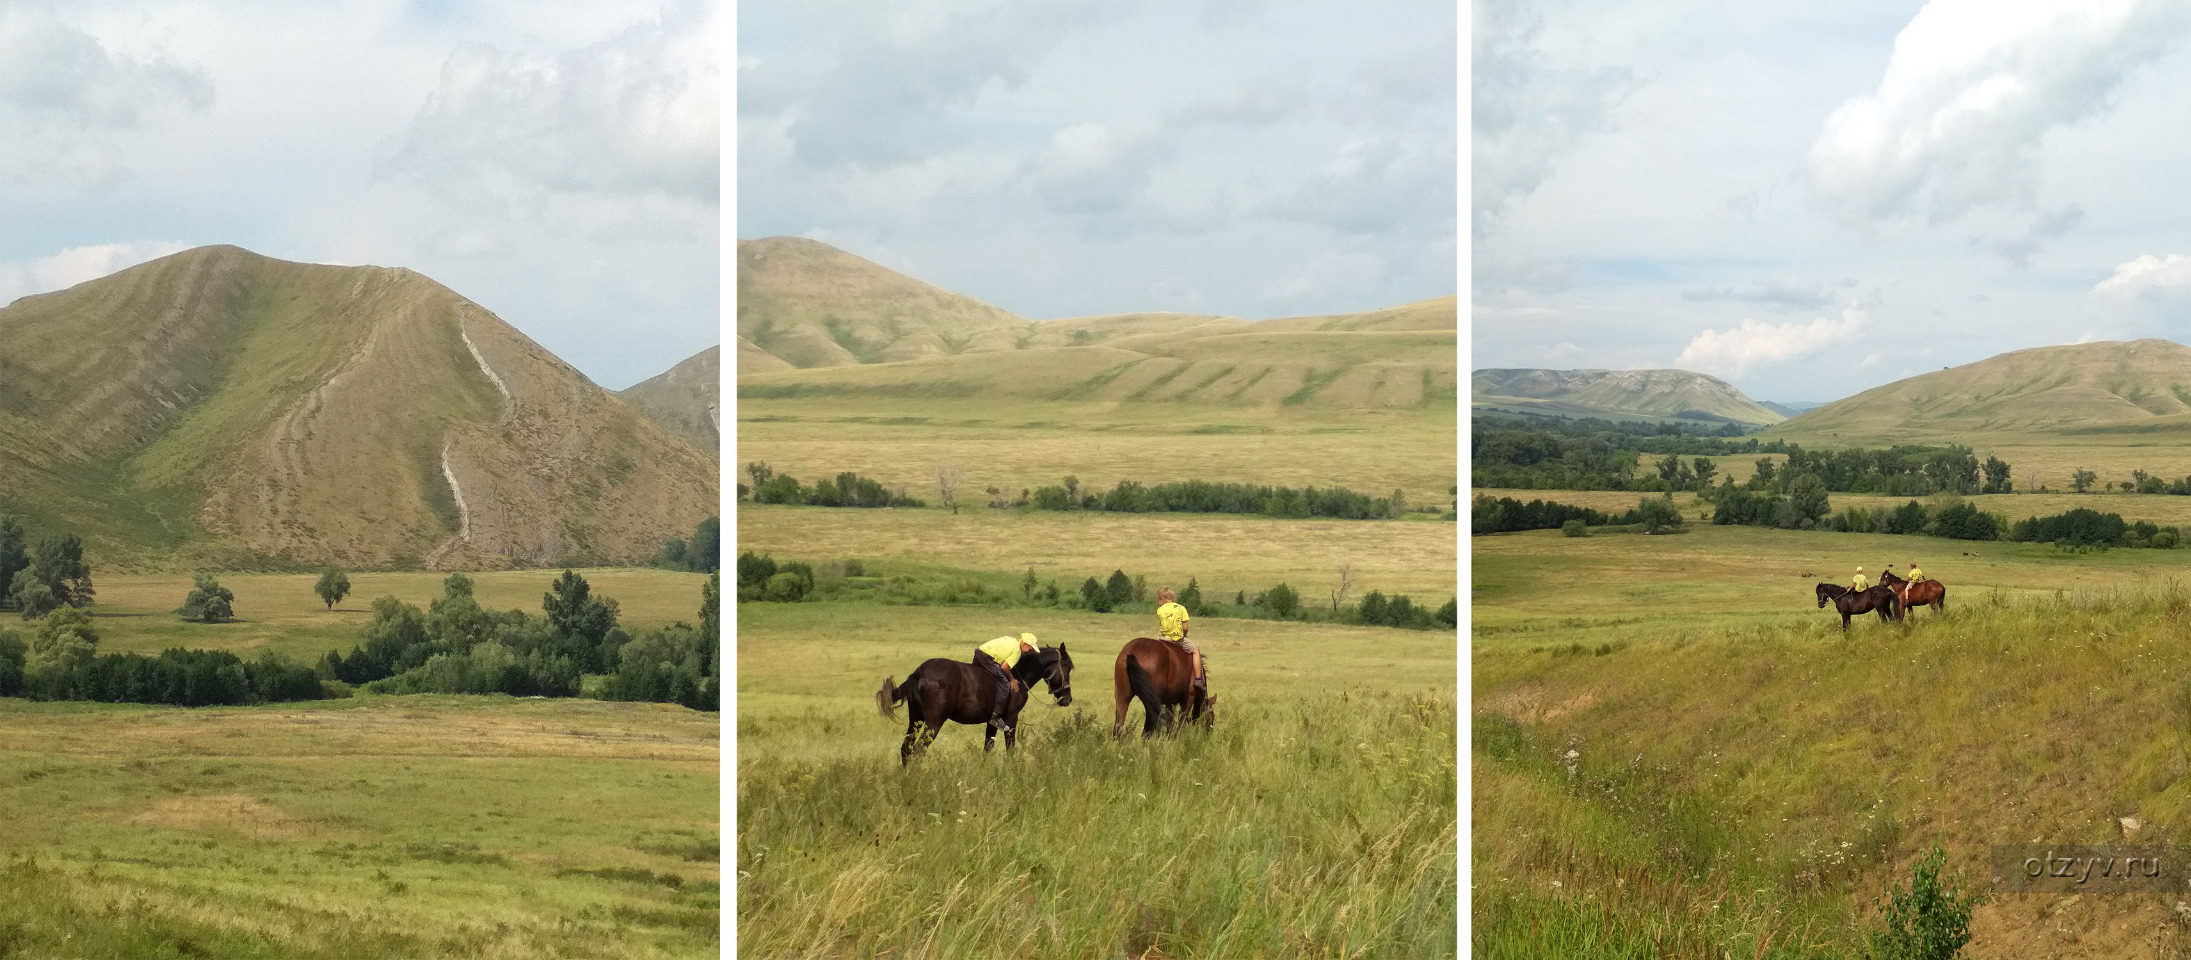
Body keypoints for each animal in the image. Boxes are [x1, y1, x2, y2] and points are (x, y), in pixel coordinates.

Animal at [876, 644, 1073, 767]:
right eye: (1068, 667)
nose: (1067, 699)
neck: (1019, 674)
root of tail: (919, 672)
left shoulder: (992, 722)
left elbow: (988, 748)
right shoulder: (1011, 719)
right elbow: (1010, 748)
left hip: (915, 720)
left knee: (905, 749)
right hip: (933, 723)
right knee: (918, 751)